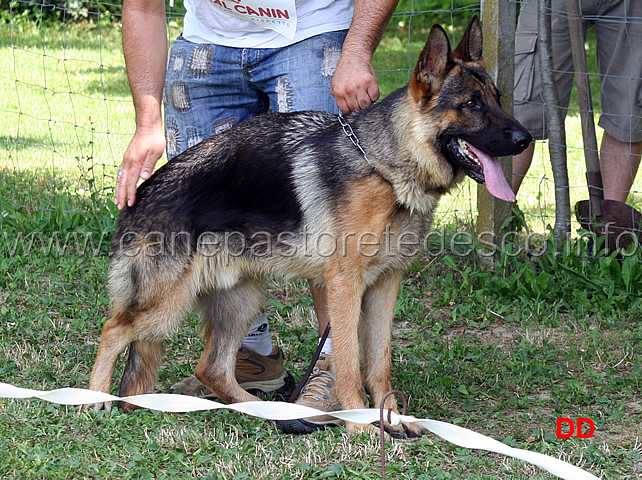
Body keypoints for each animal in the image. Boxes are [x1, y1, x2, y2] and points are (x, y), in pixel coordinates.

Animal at [90, 16, 528, 436]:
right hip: (166, 303)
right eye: (471, 103)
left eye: (497, 98)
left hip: (241, 300)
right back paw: (95, 399)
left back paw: (264, 410)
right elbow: (349, 361)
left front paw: (392, 417)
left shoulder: (386, 285)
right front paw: (360, 424)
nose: (525, 138)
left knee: (211, 368)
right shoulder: (345, 285)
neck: (385, 166)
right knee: (113, 329)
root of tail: (142, 194)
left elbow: (380, 362)